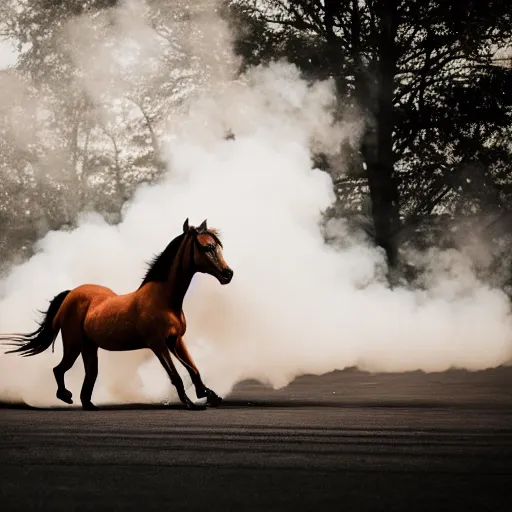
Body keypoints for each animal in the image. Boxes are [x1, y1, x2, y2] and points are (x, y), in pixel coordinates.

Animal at [1, 218, 233, 410]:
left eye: (218, 246)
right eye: (206, 246)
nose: (227, 274)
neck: (164, 299)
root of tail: (70, 294)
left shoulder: (175, 340)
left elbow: (194, 369)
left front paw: (209, 395)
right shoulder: (158, 344)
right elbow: (175, 375)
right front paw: (190, 403)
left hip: (89, 347)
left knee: (90, 375)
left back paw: (89, 405)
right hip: (74, 344)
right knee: (59, 369)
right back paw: (66, 396)